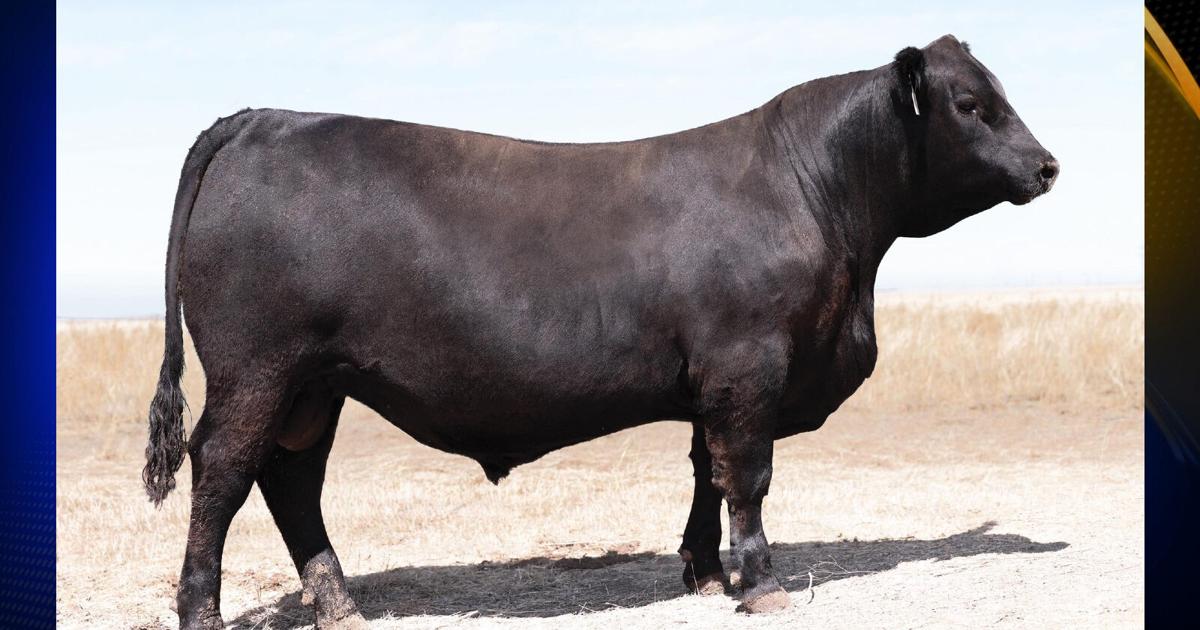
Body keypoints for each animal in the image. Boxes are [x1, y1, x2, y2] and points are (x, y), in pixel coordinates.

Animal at [143, 34, 1057, 628]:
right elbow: (748, 477)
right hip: (258, 369)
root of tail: (263, 117)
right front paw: (759, 582)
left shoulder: (709, 383)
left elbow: (704, 474)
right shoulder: (750, 368)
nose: (1048, 165)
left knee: (292, 480)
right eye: (971, 104)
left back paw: (341, 607)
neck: (818, 198)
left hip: (314, 384)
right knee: (222, 471)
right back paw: (202, 612)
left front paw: (702, 573)